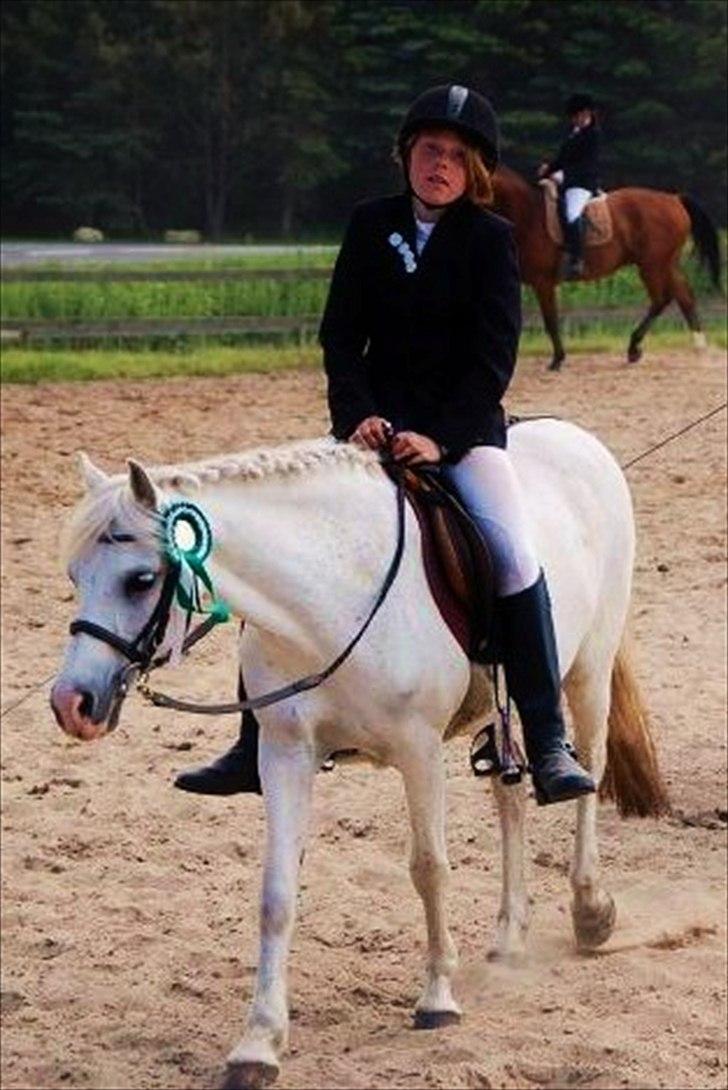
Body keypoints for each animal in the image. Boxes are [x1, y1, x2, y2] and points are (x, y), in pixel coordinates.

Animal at [50, 428, 669, 1089]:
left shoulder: (418, 750)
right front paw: (258, 1044)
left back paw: (590, 910)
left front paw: (437, 999)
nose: (72, 703)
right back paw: (508, 936)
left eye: (141, 580)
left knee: (587, 773)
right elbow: (276, 895)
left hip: (588, 671)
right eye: (75, 574)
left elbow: (429, 869)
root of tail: (574, 435)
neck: (332, 592)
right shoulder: (285, 754)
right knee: (509, 798)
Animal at [492, 164, 722, 371]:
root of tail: (674, 199)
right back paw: (697, 347)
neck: (527, 214)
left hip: (653, 266)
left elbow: (550, 321)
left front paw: (557, 360)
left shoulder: (543, 283)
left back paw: (636, 348)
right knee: (684, 297)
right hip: (666, 264)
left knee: (662, 299)